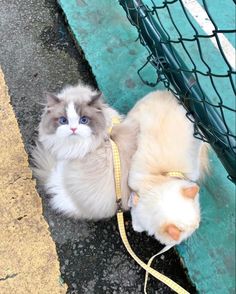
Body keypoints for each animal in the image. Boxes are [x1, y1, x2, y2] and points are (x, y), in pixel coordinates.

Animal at [125, 91, 208, 246]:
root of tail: (167, 93)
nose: (197, 226)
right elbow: (136, 220)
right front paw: (137, 227)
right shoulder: (136, 202)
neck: (158, 178)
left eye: (197, 222)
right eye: (188, 231)